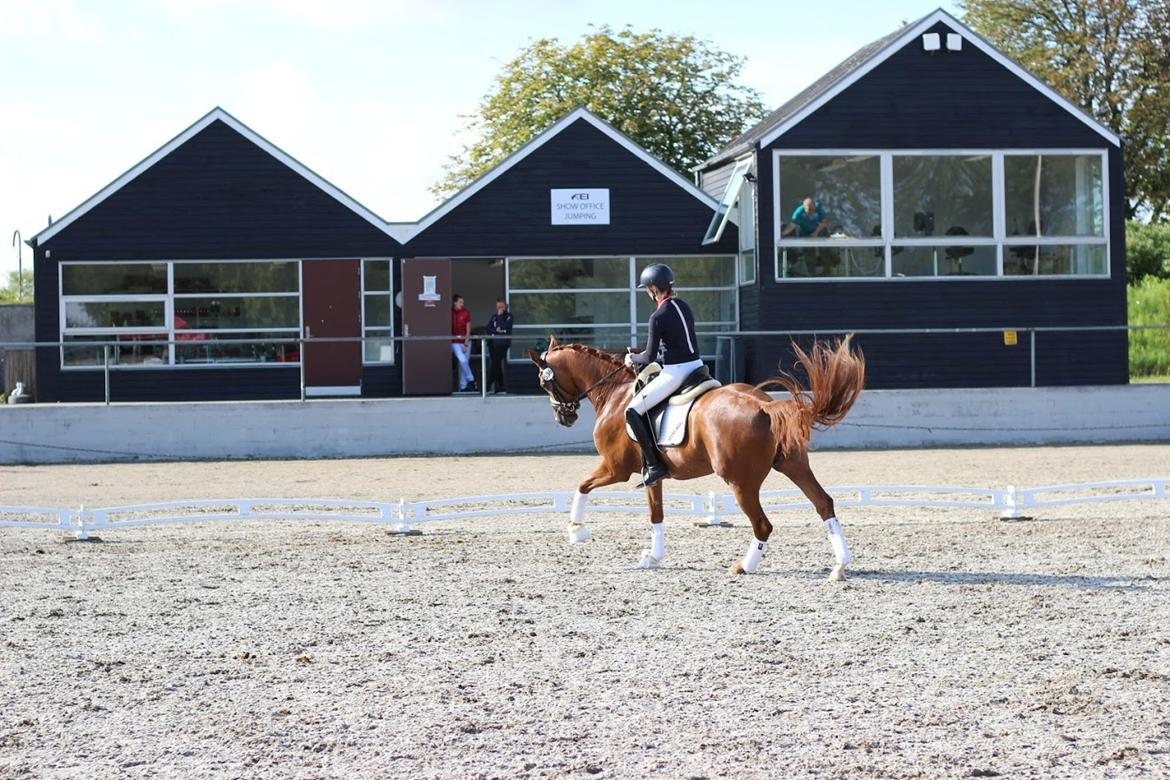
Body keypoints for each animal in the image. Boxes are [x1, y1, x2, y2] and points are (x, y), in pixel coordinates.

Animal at [526, 336, 865, 580]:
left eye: (544, 382)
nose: (564, 417)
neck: (615, 392)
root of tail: (764, 406)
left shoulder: (615, 468)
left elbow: (582, 485)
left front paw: (576, 530)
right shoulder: (652, 474)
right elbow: (656, 515)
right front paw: (653, 557)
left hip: (740, 482)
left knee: (763, 525)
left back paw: (744, 566)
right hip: (793, 465)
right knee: (824, 504)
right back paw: (840, 567)